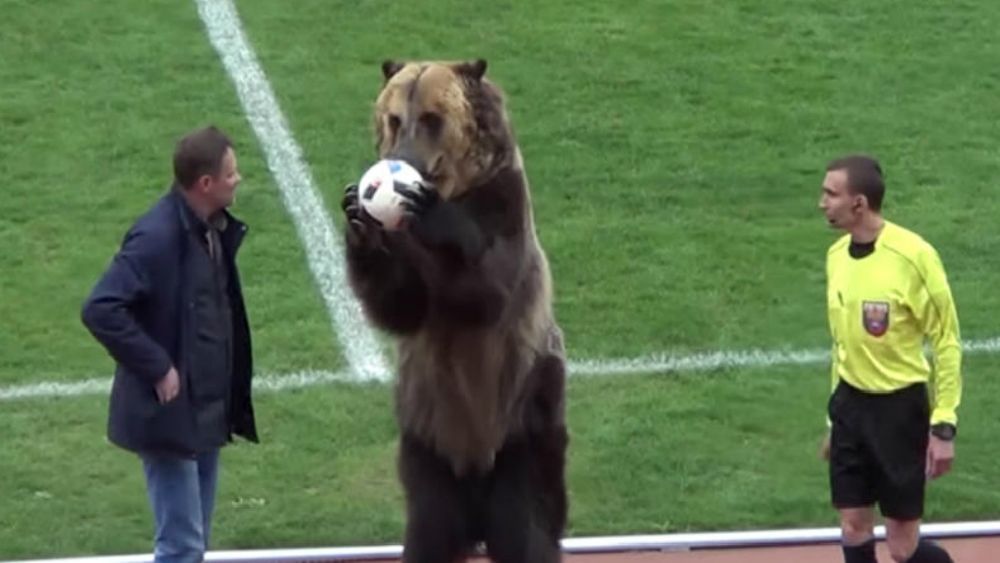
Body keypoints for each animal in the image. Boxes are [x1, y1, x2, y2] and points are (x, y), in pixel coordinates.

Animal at [340, 58, 569, 563]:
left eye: (432, 118)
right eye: (394, 118)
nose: (403, 161)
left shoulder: (504, 207)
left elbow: (486, 290)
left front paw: (431, 211)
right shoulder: (405, 260)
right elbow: (401, 305)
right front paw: (357, 221)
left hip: (525, 423)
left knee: (528, 525)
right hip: (426, 439)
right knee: (430, 529)